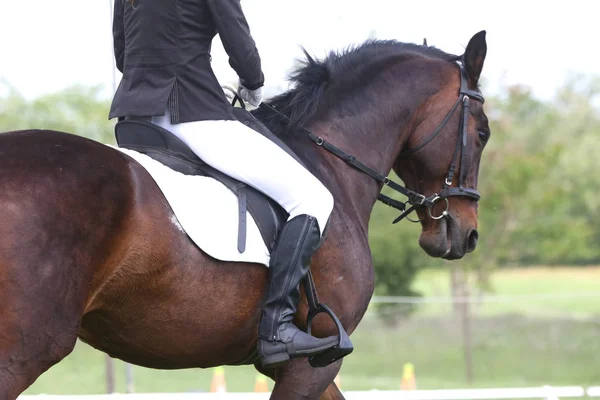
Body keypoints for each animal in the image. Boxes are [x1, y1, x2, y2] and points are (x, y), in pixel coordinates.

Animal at [0, 31, 488, 400]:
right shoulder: (311, 366)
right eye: (482, 133)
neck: (329, 164)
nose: (464, 233)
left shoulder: (312, 366)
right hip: (22, 352)